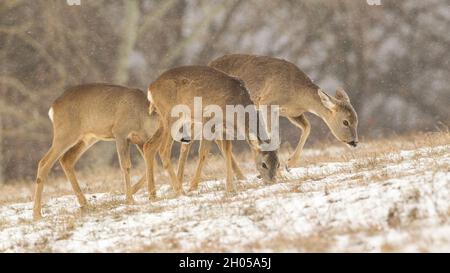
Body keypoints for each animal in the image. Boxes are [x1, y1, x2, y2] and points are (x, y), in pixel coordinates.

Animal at [32, 83, 158, 219]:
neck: (142, 117)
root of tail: (53, 108)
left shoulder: (140, 141)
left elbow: (152, 164)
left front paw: (136, 193)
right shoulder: (120, 132)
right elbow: (126, 165)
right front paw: (129, 199)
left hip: (87, 138)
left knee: (66, 159)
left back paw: (85, 205)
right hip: (65, 133)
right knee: (44, 162)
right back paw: (37, 214)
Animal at [142, 65, 280, 193]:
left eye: (278, 164)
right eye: (264, 164)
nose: (271, 182)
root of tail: (150, 89)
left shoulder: (224, 129)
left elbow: (227, 151)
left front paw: (230, 187)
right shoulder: (209, 120)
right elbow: (203, 153)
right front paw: (193, 186)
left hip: (165, 120)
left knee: (149, 146)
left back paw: (153, 195)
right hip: (172, 116)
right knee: (163, 149)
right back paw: (179, 190)